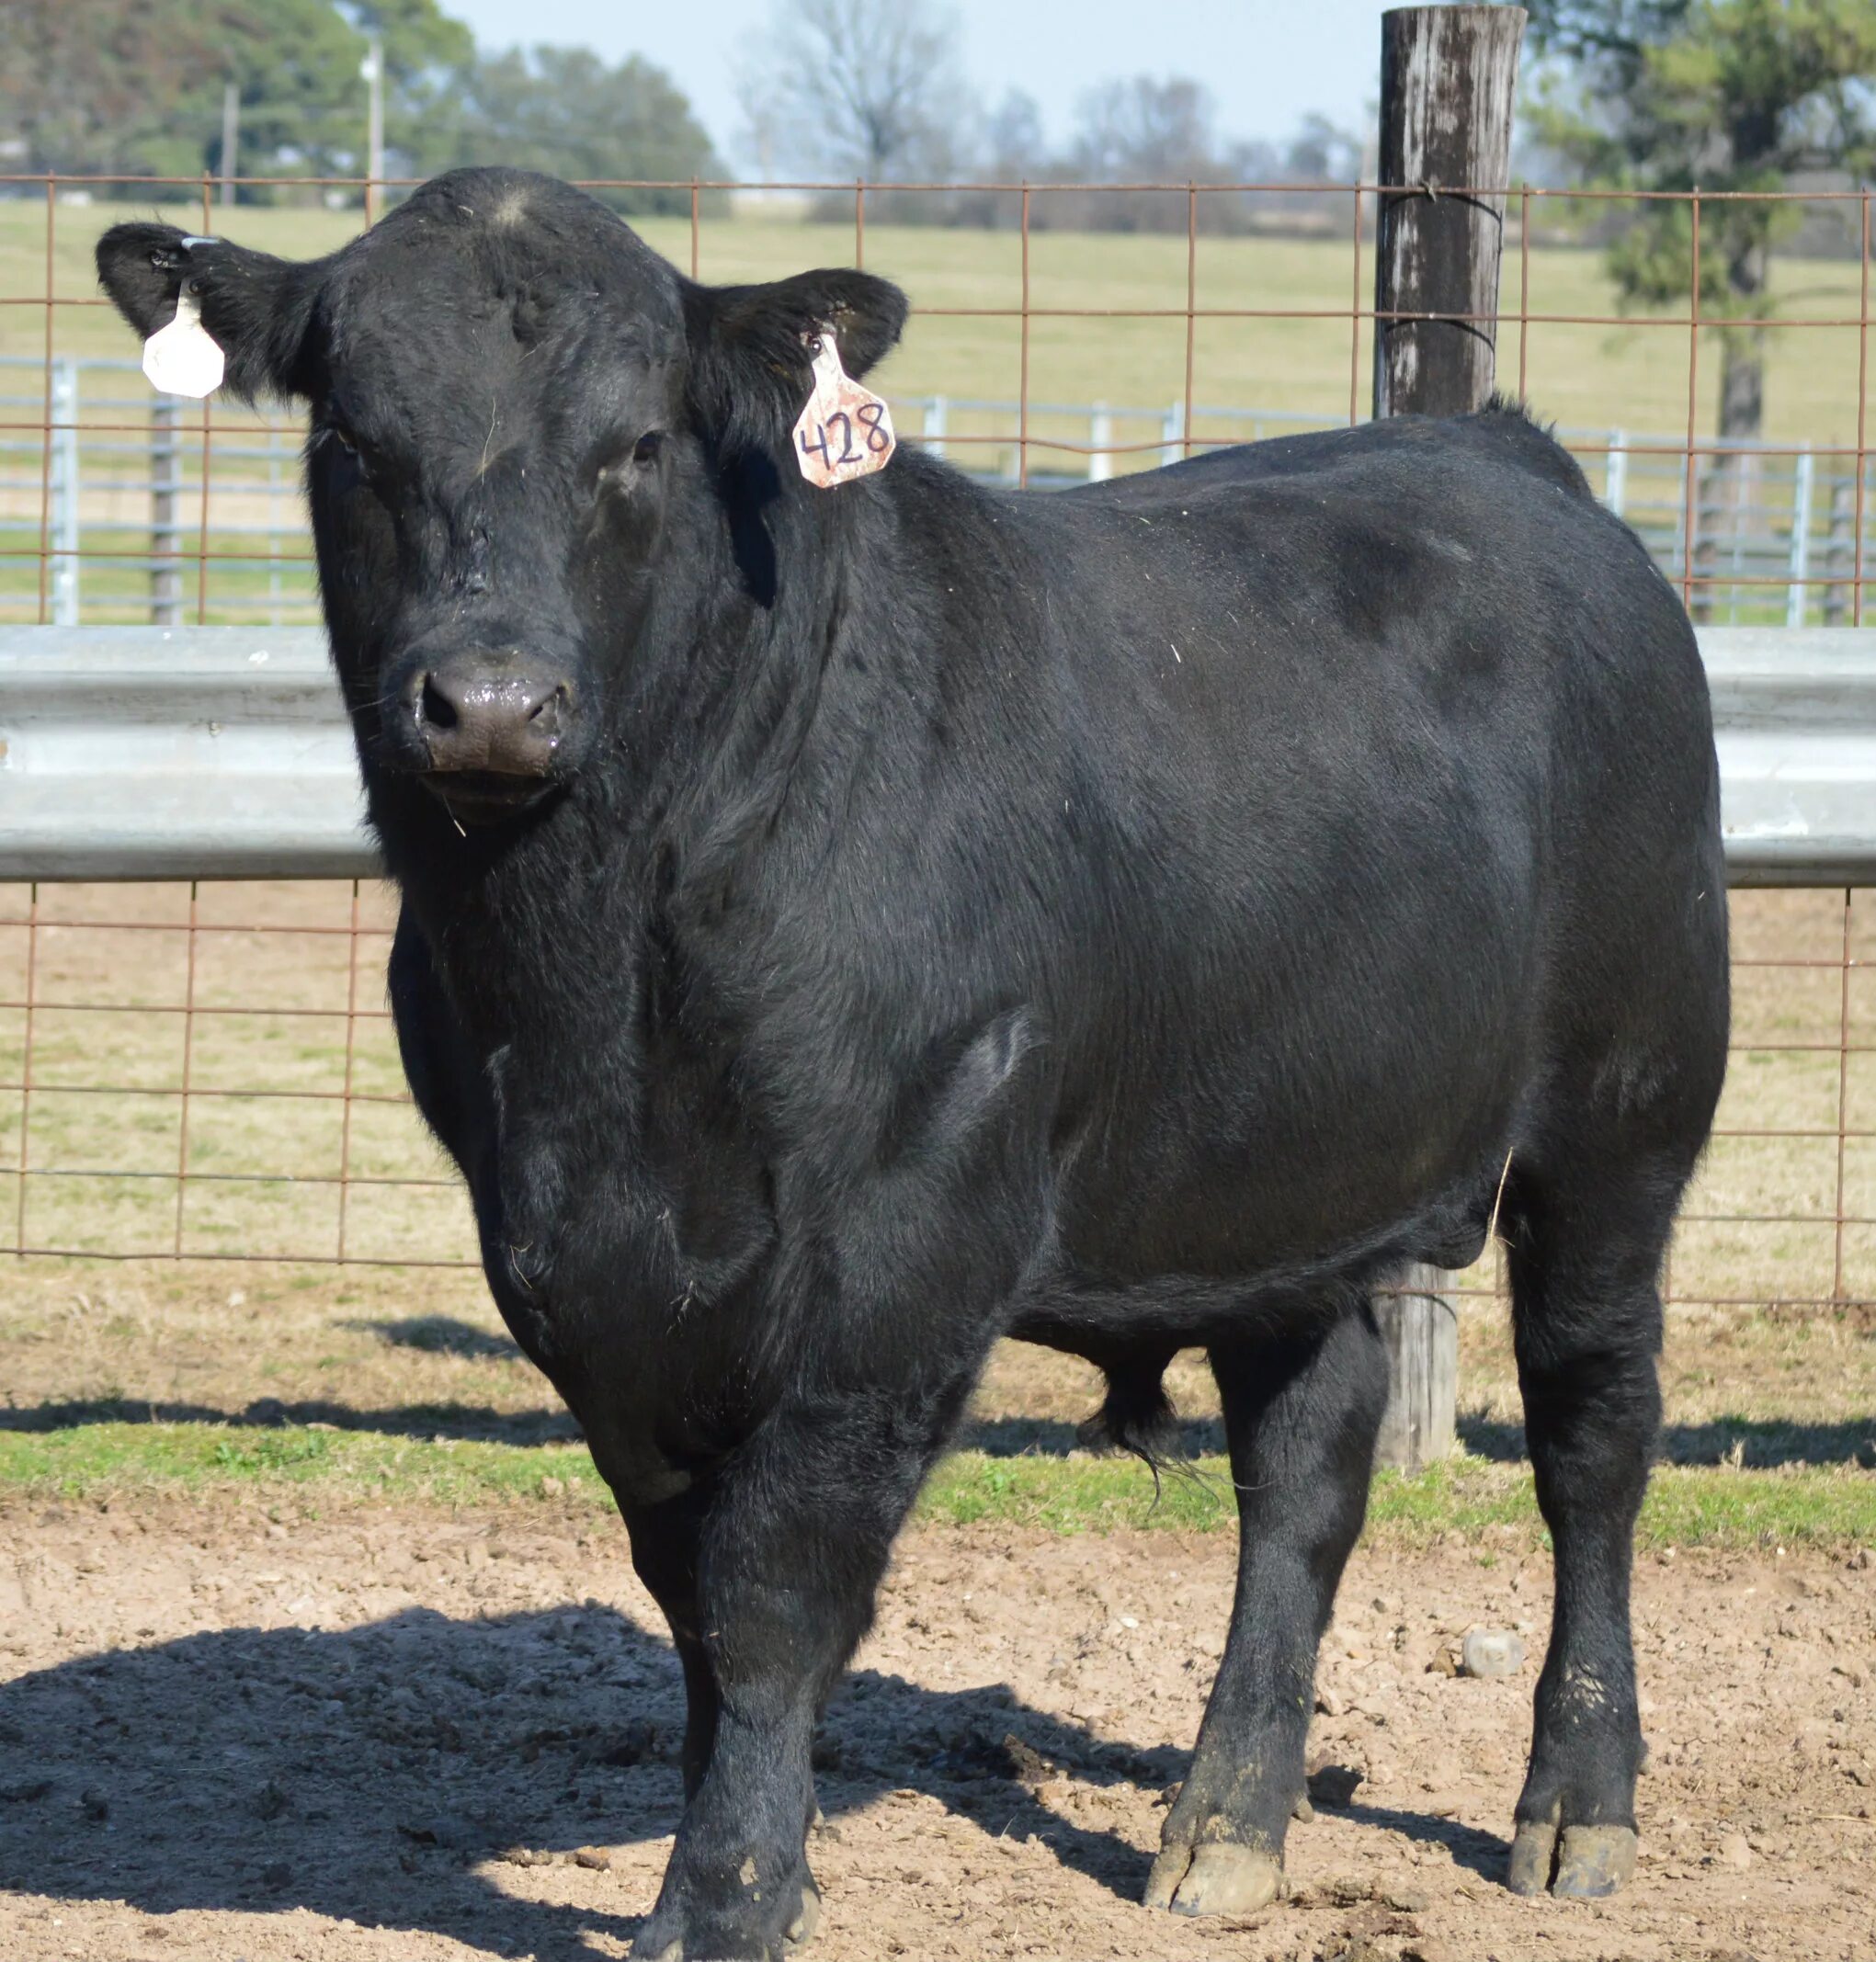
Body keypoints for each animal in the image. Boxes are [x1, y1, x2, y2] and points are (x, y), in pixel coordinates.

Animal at [95, 172, 1719, 1962]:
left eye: (639, 443)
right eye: (353, 439)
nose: (493, 704)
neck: (600, 993)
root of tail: (1493, 447)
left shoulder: (904, 1241)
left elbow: (773, 1587)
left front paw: (722, 1899)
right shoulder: (576, 1270)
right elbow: (688, 1591)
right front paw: (744, 1840)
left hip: (1629, 1106)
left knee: (1592, 1431)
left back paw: (1574, 1800)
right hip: (1282, 1168)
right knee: (1305, 1463)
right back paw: (1224, 1823)